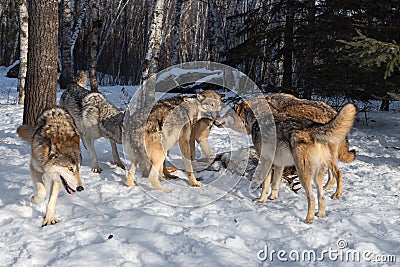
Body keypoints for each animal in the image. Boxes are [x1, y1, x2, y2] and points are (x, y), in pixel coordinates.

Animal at [216, 98, 356, 224]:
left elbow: (265, 185)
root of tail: (315, 127)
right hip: (318, 174)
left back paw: (309, 219)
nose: (215, 120)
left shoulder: (266, 161)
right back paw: (321, 214)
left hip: (304, 174)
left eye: (226, 113)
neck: (255, 120)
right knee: (321, 195)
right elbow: (275, 183)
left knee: (313, 196)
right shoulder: (279, 164)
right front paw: (273, 198)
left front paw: (261, 200)